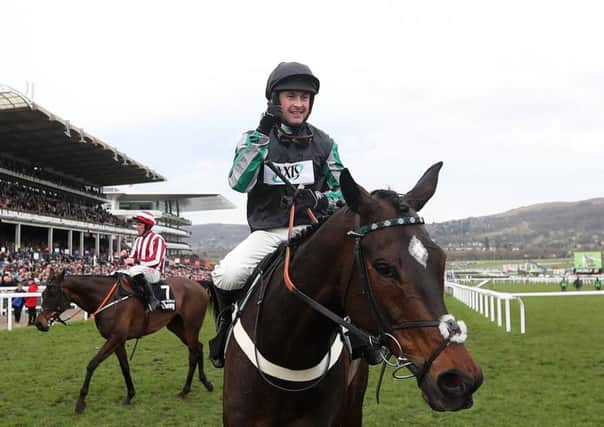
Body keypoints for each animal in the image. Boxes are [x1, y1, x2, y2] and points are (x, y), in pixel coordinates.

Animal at [35, 270, 215, 414]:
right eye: (43, 294)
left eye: (52, 294)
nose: (39, 323)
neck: (108, 299)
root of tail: (198, 284)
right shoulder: (117, 341)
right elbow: (124, 367)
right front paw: (130, 395)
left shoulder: (115, 337)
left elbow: (92, 364)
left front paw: (80, 402)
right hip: (176, 326)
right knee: (198, 348)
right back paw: (206, 383)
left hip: (191, 326)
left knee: (193, 353)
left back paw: (185, 390)